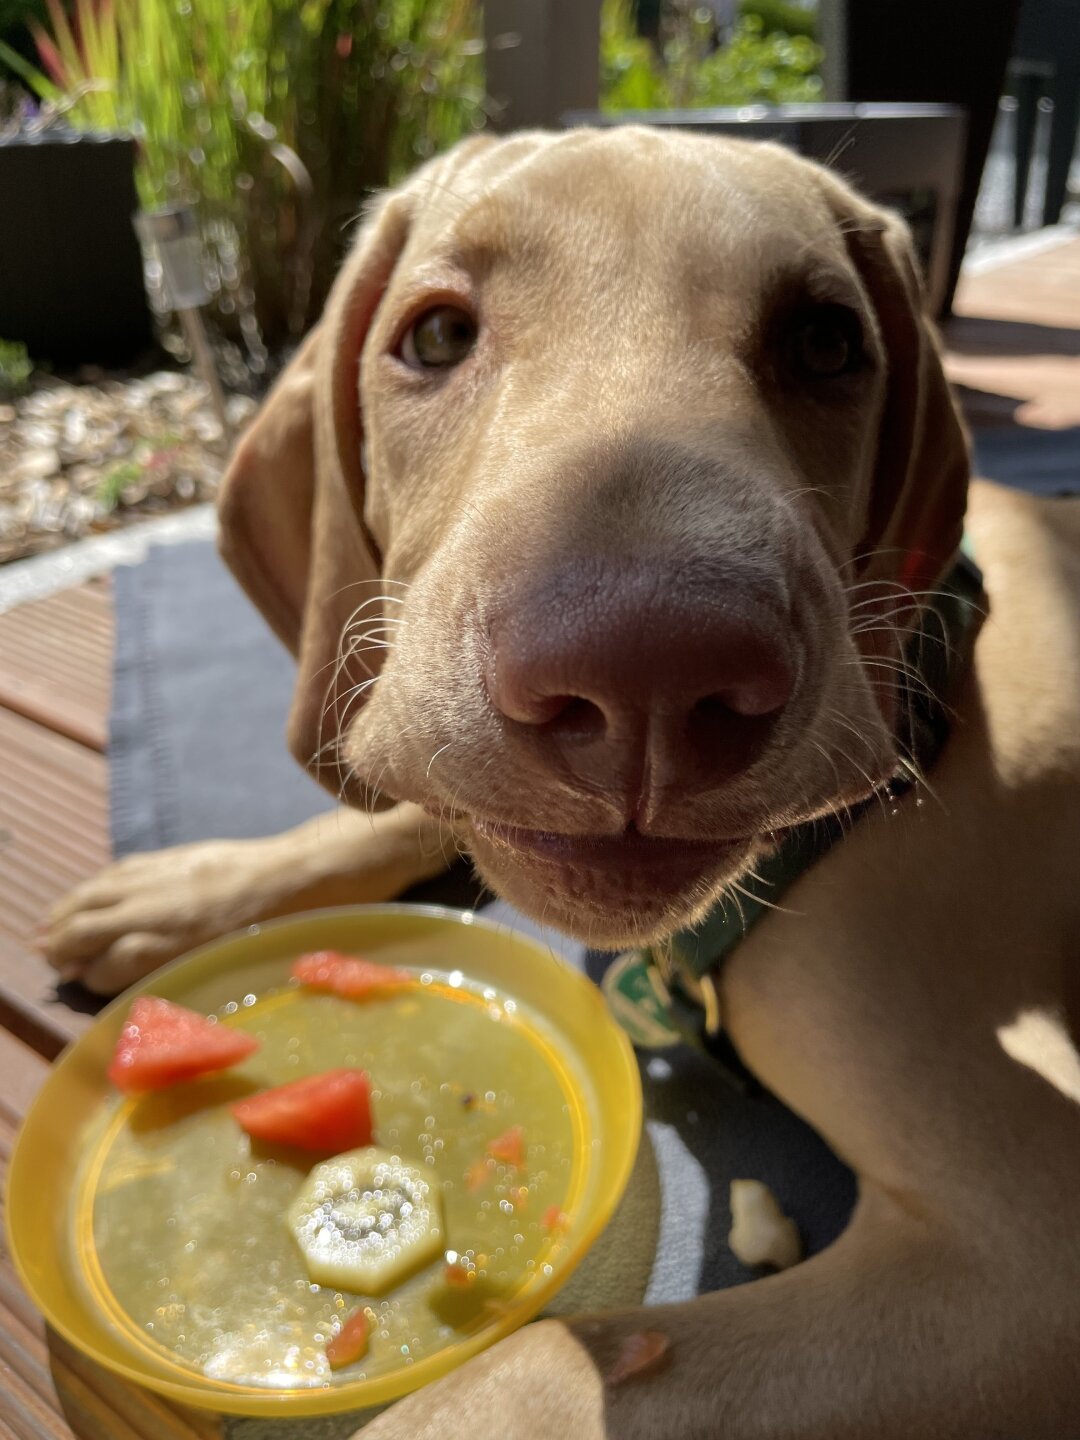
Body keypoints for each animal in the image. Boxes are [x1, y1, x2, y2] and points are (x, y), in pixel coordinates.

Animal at [42, 129, 1080, 1434]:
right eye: (437, 334)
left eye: (827, 344)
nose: (647, 673)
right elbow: (400, 796)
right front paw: (187, 890)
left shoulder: (1023, 1239)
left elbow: (526, 1368)